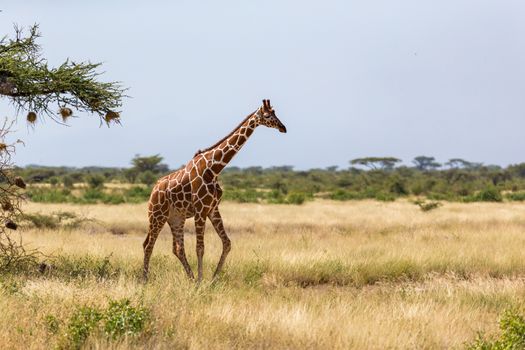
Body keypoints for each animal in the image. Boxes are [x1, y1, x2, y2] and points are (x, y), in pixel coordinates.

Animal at [141, 99, 284, 282]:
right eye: (267, 115)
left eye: (275, 112)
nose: (283, 127)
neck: (214, 168)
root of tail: (153, 190)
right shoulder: (200, 210)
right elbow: (200, 248)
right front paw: (201, 282)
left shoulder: (213, 209)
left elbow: (227, 243)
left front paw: (213, 280)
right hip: (156, 215)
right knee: (148, 244)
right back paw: (145, 280)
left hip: (175, 218)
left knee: (177, 248)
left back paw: (190, 278)